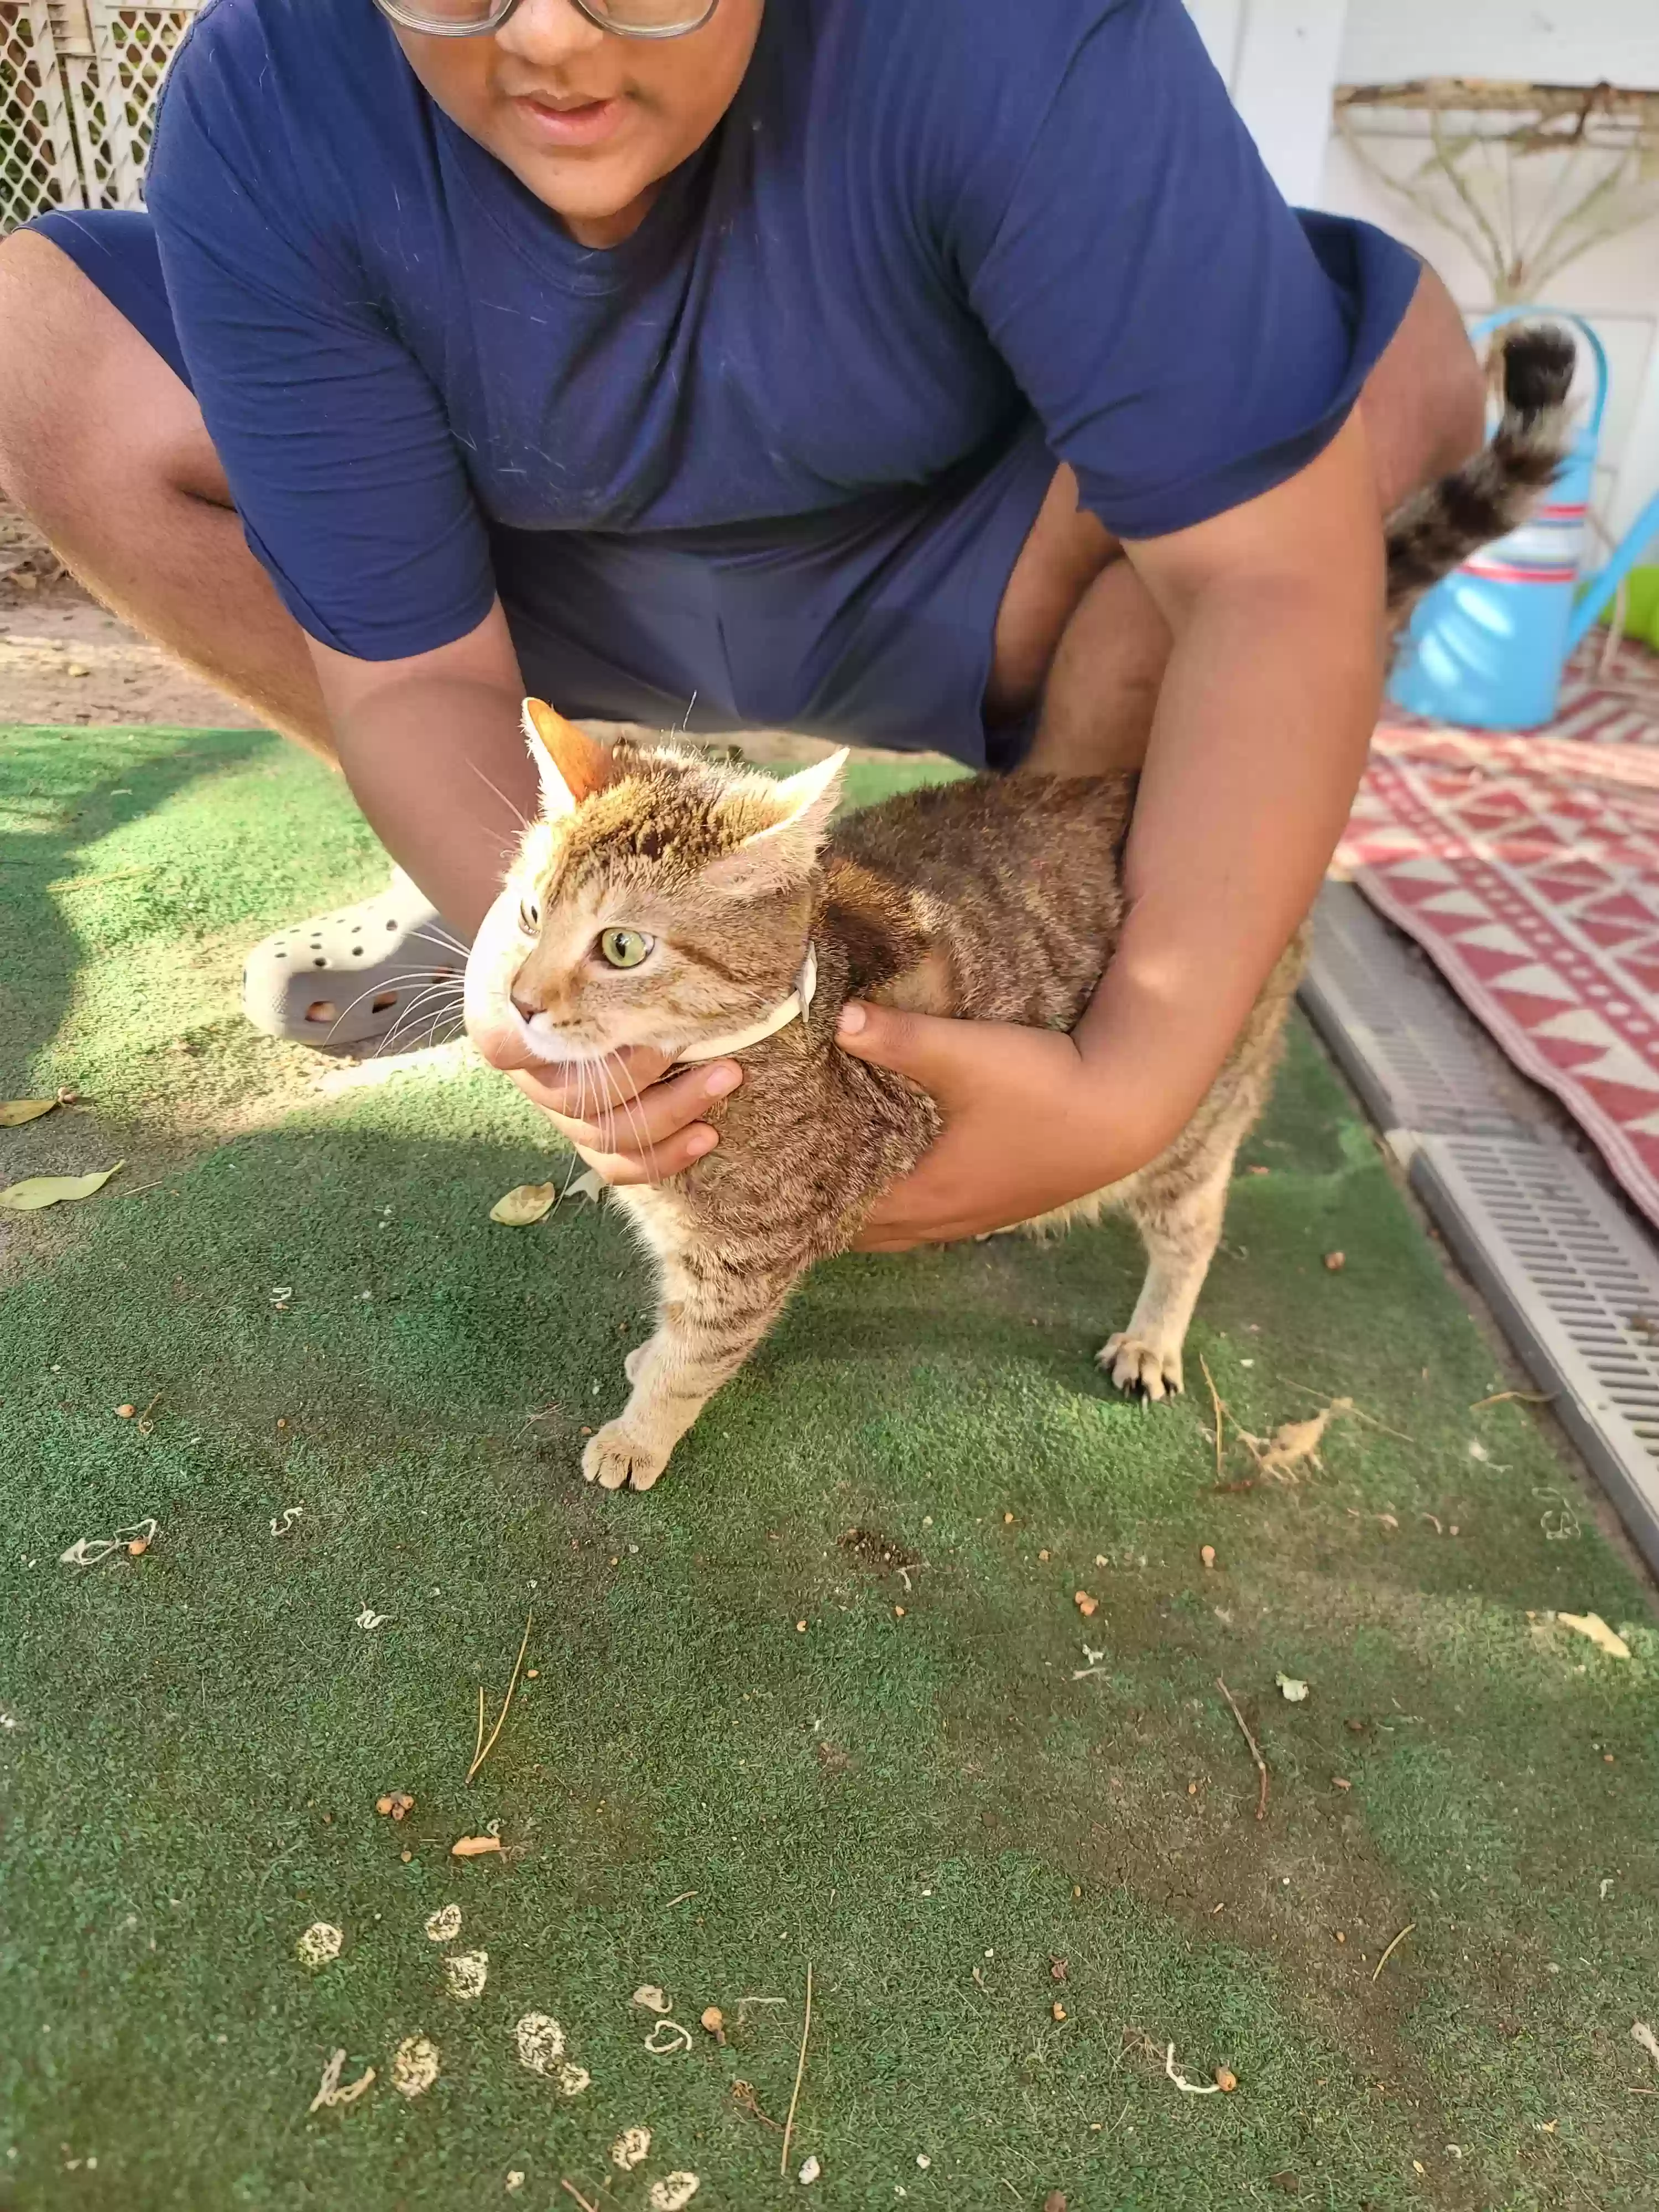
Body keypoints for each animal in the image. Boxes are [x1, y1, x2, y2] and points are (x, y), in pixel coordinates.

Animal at [465, 323, 1575, 1486]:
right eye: (530, 915)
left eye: (622, 947)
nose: (524, 1000)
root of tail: (1131, 779)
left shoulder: (746, 1258)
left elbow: (696, 1353)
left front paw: (639, 1432)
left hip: (1198, 1121)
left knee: (1194, 1223)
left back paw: (1153, 1332)